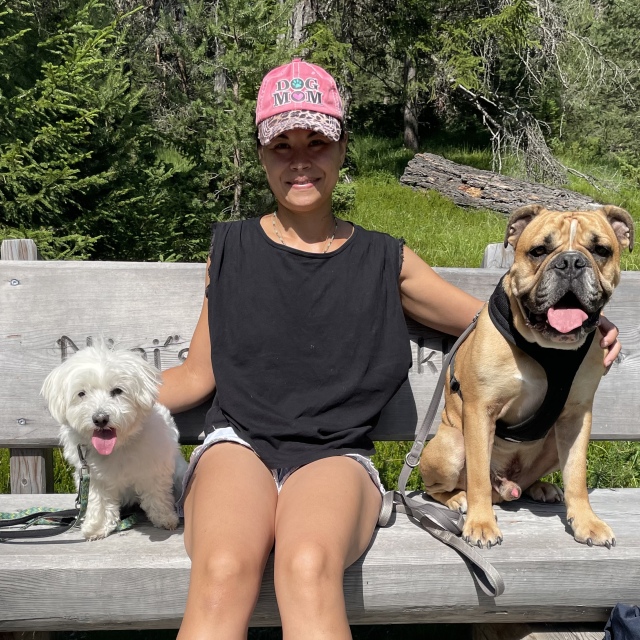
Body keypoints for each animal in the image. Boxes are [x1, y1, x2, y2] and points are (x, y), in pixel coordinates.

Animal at [41, 343, 188, 540]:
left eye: (117, 391)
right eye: (82, 393)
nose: (100, 418)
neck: (118, 446)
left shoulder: (153, 467)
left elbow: (156, 493)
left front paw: (164, 517)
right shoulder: (94, 478)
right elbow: (100, 502)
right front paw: (97, 526)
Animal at [419, 204, 634, 549]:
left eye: (601, 250)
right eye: (538, 251)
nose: (571, 262)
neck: (549, 349)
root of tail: (506, 488)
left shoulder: (577, 418)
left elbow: (577, 476)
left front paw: (587, 522)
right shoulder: (480, 410)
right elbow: (478, 477)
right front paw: (481, 524)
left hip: (551, 446)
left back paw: (540, 487)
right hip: (452, 446)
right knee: (440, 487)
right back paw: (457, 499)